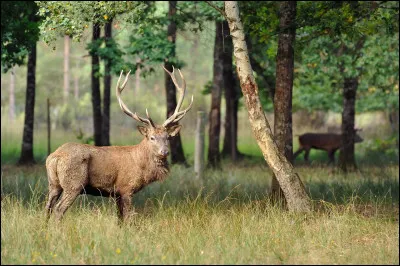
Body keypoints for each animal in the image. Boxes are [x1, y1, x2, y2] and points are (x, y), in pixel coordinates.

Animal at [44, 66, 193, 222]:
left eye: (167, 137)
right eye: (152, 138)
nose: (164, 152)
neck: (142, 166)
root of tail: (55, 157)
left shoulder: (116, 194)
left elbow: (119, 219)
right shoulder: (126, 188)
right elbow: (127, 218)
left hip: (53, 184)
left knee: (47, 208)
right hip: (73, 184)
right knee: (58, 209)